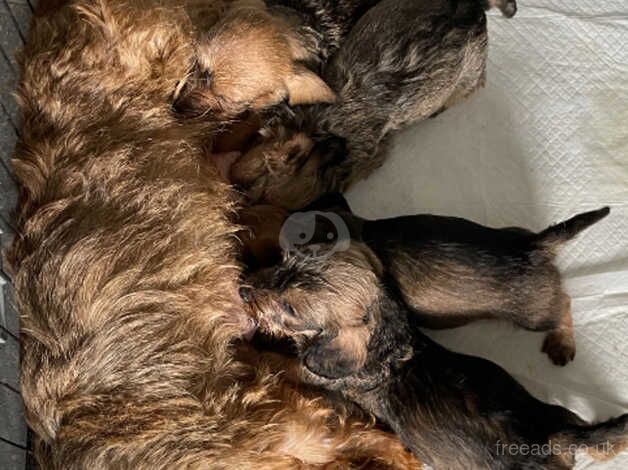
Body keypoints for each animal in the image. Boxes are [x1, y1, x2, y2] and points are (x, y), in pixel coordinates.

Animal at [243, 242, 628, 470]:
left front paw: (248, 349)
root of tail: (551, 437)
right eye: (281, 262)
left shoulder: (311, 370)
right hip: (562, 415)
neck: (387, 335)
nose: (245, 288)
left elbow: (283, 361)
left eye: (290, 309)